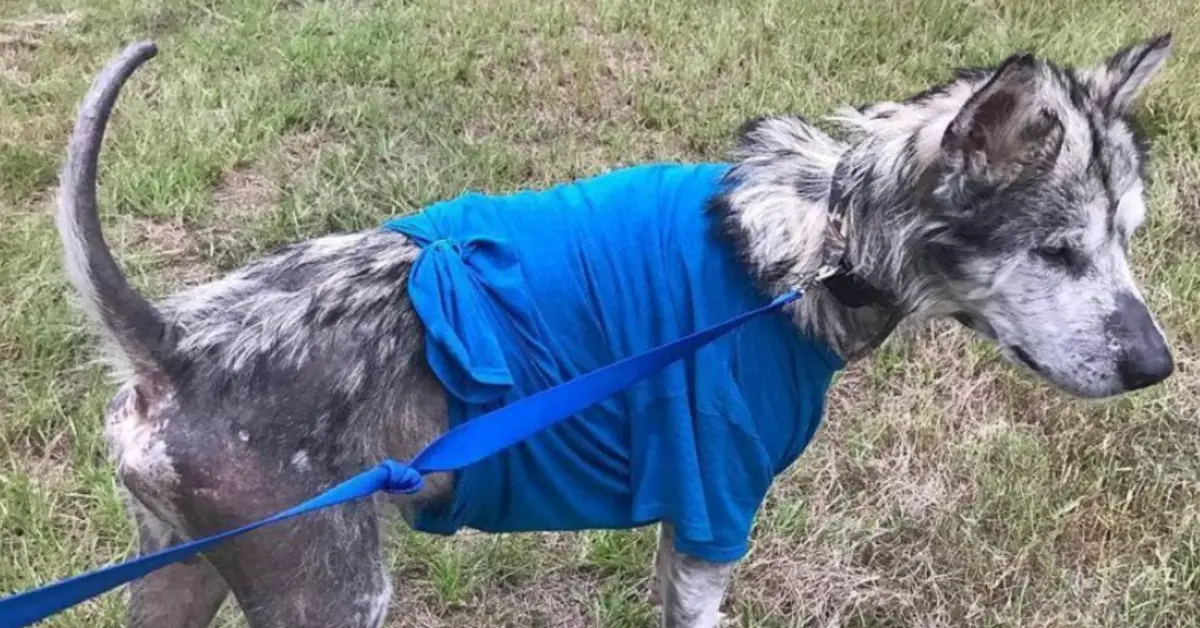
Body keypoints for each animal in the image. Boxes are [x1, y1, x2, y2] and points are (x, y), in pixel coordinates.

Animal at [56, 34, 1171, 628]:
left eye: (1129, 237)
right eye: (1060, 251)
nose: (1159, 365)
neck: (818, 235)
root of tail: (171, 346)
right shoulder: (713, 518)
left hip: (182, 576)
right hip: (329, 596)